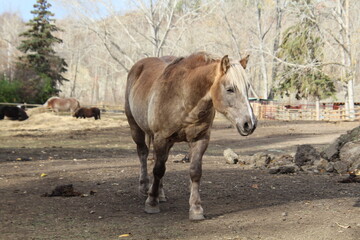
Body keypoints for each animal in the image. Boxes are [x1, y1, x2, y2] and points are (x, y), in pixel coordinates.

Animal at [125, 51, 258, 220]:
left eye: (247, 88)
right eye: (230, 89)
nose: (250, 124)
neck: (183, 96)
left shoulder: (200, 140)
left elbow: (195, 172)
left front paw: (195, 209)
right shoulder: (162, 138)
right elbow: (158, 170)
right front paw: (152, 203)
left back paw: (160, 193)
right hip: (136, 128)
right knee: (143, 153)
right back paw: (144, 188)